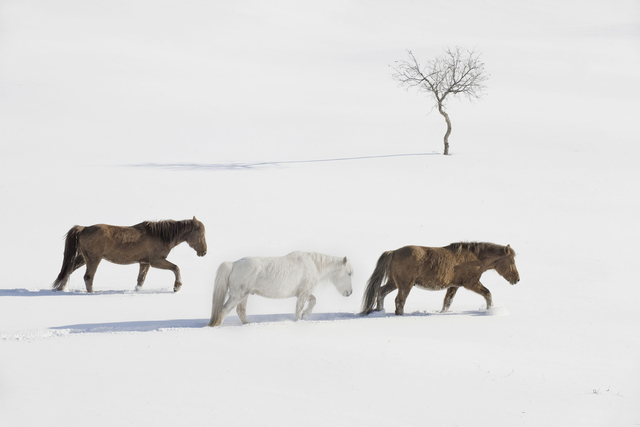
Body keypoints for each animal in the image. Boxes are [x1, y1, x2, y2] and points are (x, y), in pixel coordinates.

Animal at [52, 217, 207, 293]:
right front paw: (177, 287)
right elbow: (176, 268)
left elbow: (140, 280)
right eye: (201, 234)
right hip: (93, 259)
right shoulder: (156, 261)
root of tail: (83, 228)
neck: (160, 236)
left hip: (83, 258)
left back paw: (61, 289)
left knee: (68, 270)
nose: (204, 252)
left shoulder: (144, 262)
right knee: (88, 277)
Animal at [208, 251, 353, 326]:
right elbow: (298, 309)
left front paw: (306, 315)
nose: (350, 293)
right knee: (224, 310)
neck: (313, 265)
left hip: (244, 295)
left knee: (241, 311)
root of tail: (233, 264)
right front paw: (300, 318)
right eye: (349, 273)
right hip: (237, 295)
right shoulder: (303, 294)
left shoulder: (303, 293)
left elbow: (313, 301)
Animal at [361, 242, 520, 316]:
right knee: (399, 301)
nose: (517, 279)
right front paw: (491, 310)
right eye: (512, 261)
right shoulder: (471, 283)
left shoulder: (454, 285)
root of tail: (393, 252)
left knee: (380, 292)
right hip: (405, 285)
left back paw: (379, 310)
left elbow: (447, 302)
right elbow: (487, 293)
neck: (474, 258)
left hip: (394, 283)